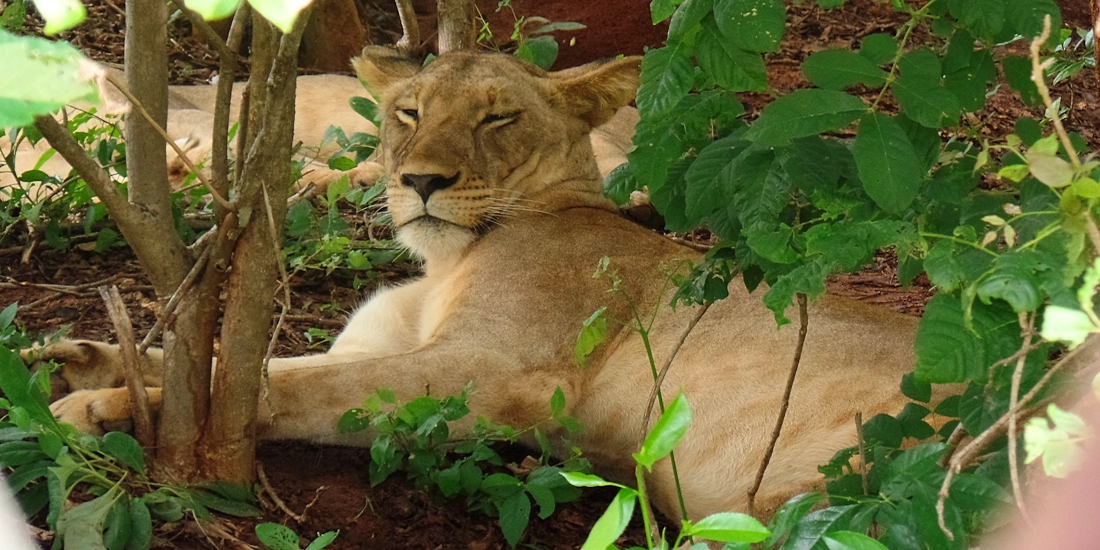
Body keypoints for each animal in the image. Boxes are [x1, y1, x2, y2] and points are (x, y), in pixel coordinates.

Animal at [35, 48, 920, 522]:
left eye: (498, 118)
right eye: (408, 111)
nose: (421, 180)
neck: (444, 263)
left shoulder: (499, 376)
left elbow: (284, 390)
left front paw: (101, 411)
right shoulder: (383, 345)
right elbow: (246, 364)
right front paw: (80, 362)